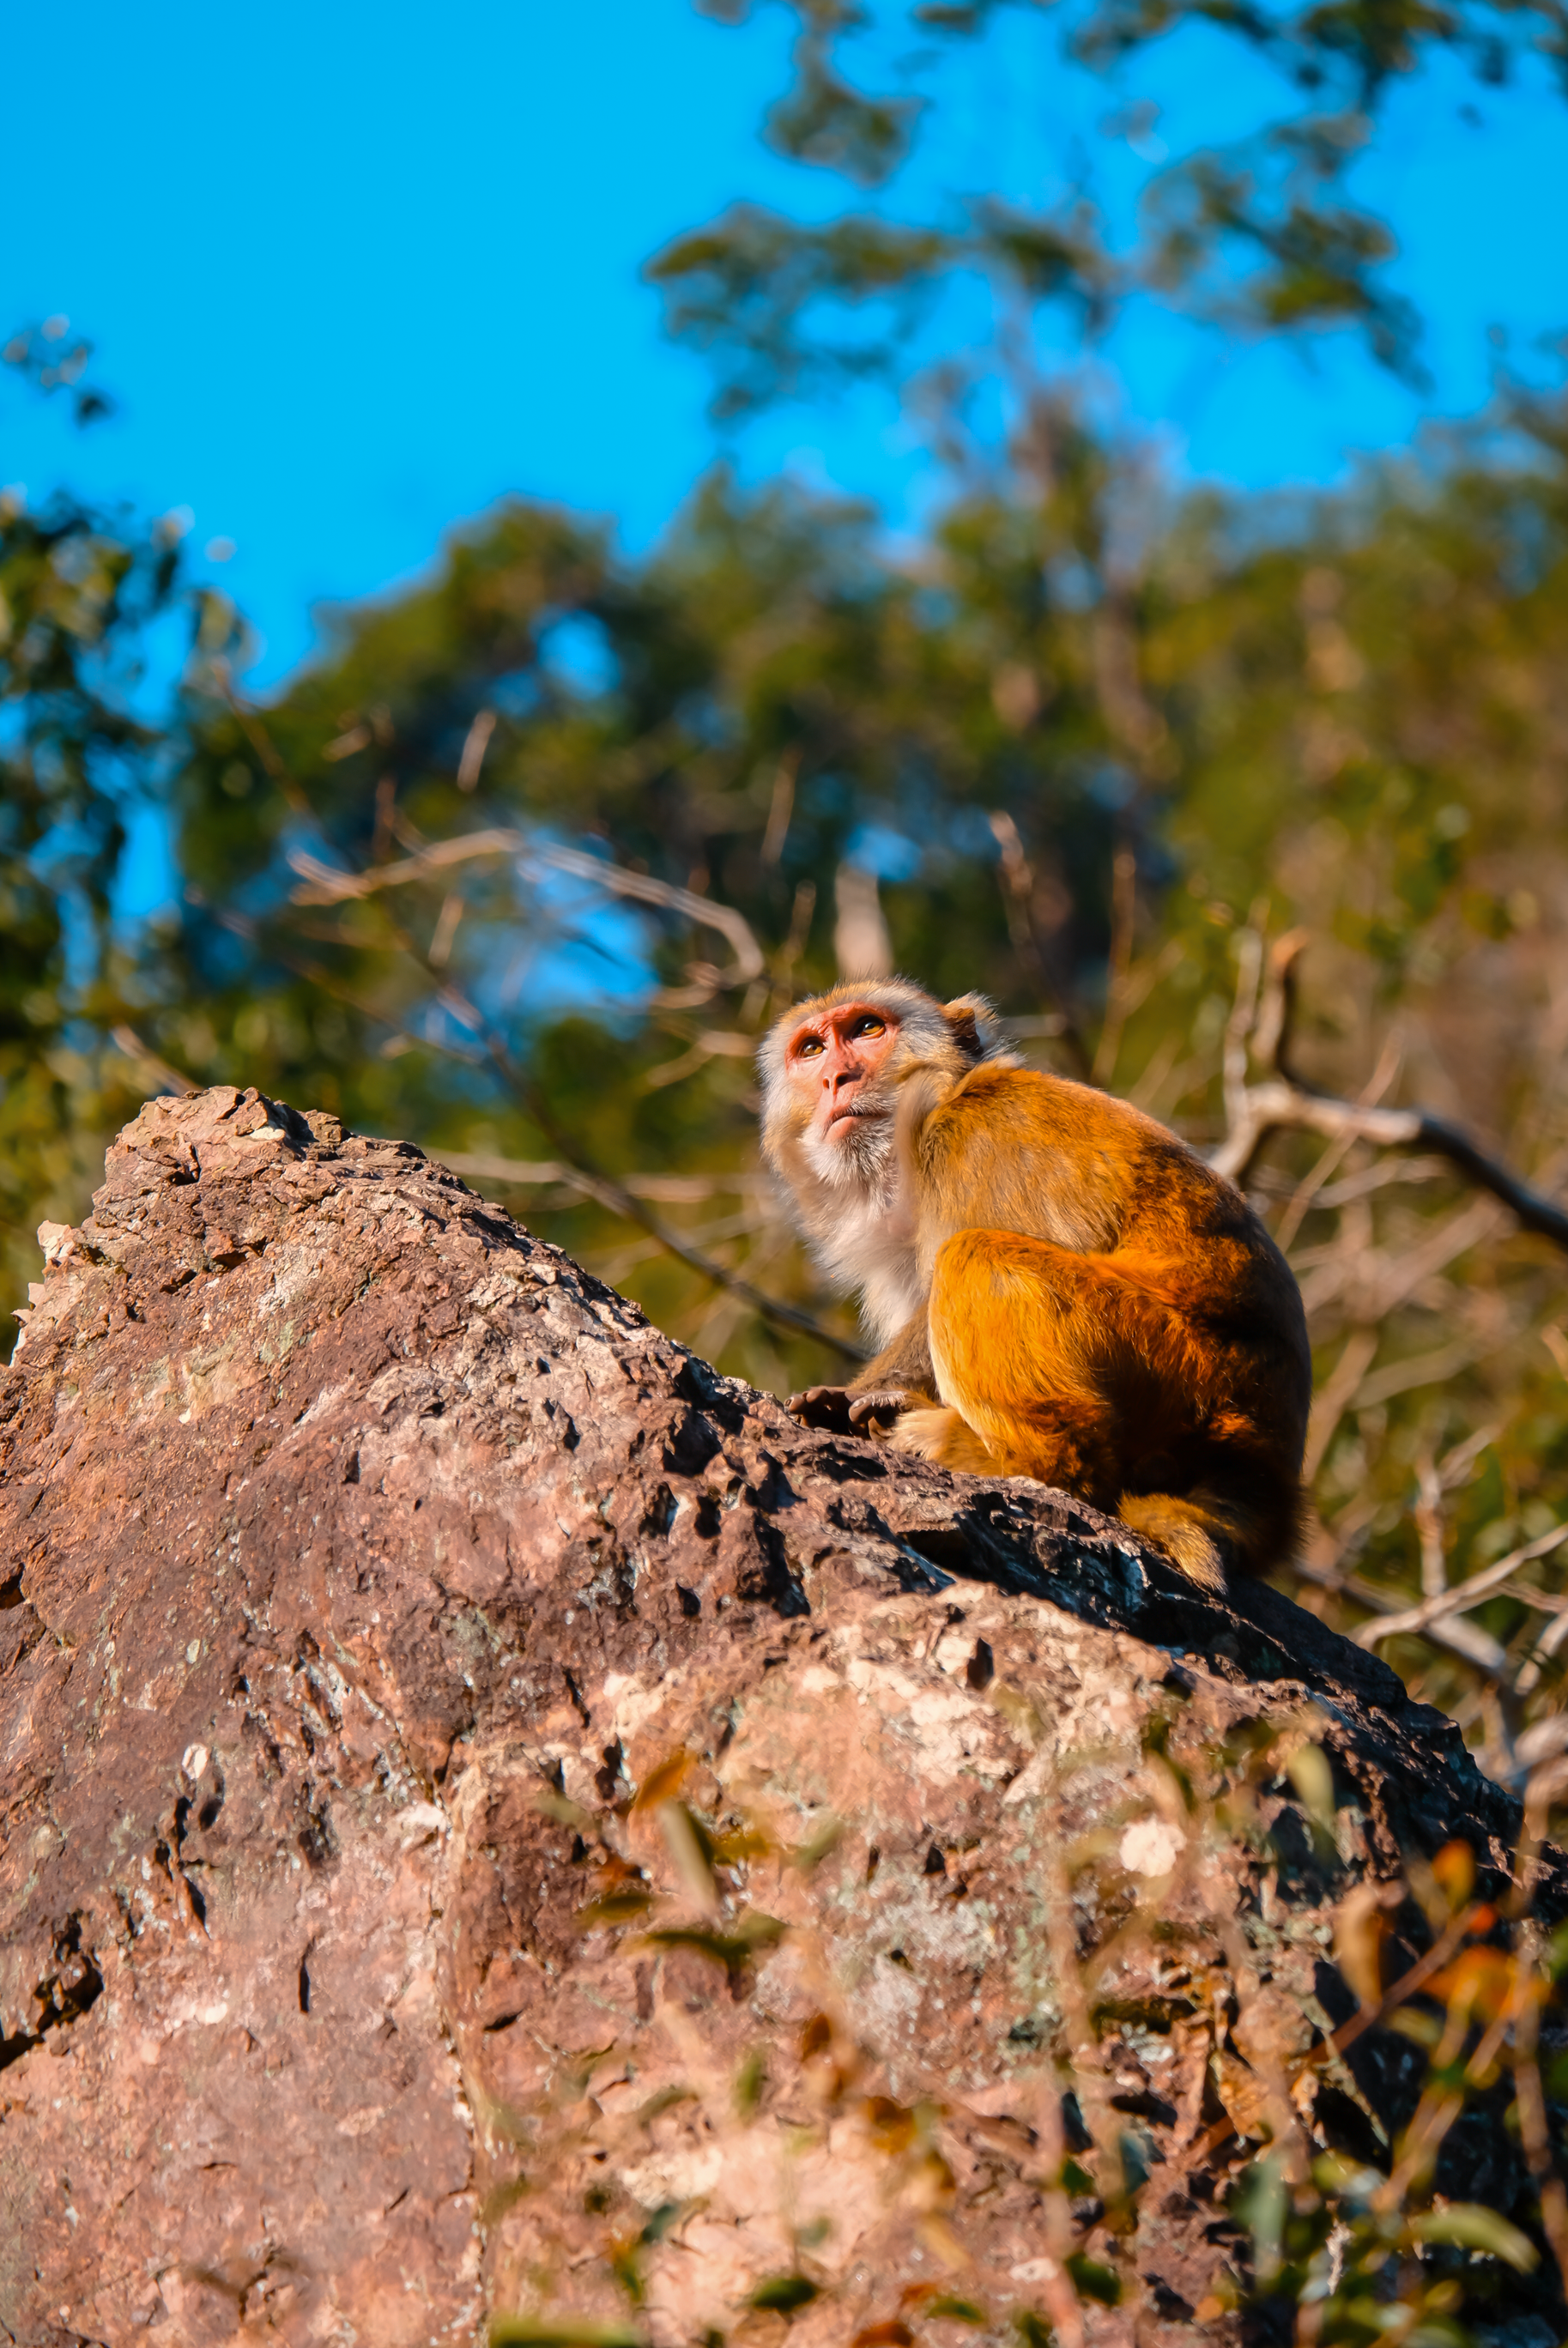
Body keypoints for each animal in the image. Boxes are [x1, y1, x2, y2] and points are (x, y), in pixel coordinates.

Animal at [758, 978, 1313, 1592]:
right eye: (811, 1050)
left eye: (867, 1029)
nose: (836, 1077)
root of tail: (1265, 1471)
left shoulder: (976, 1136)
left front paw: (856, 1398)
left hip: (1178, 1366)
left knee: (973, 1254)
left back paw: (1020, 1461)